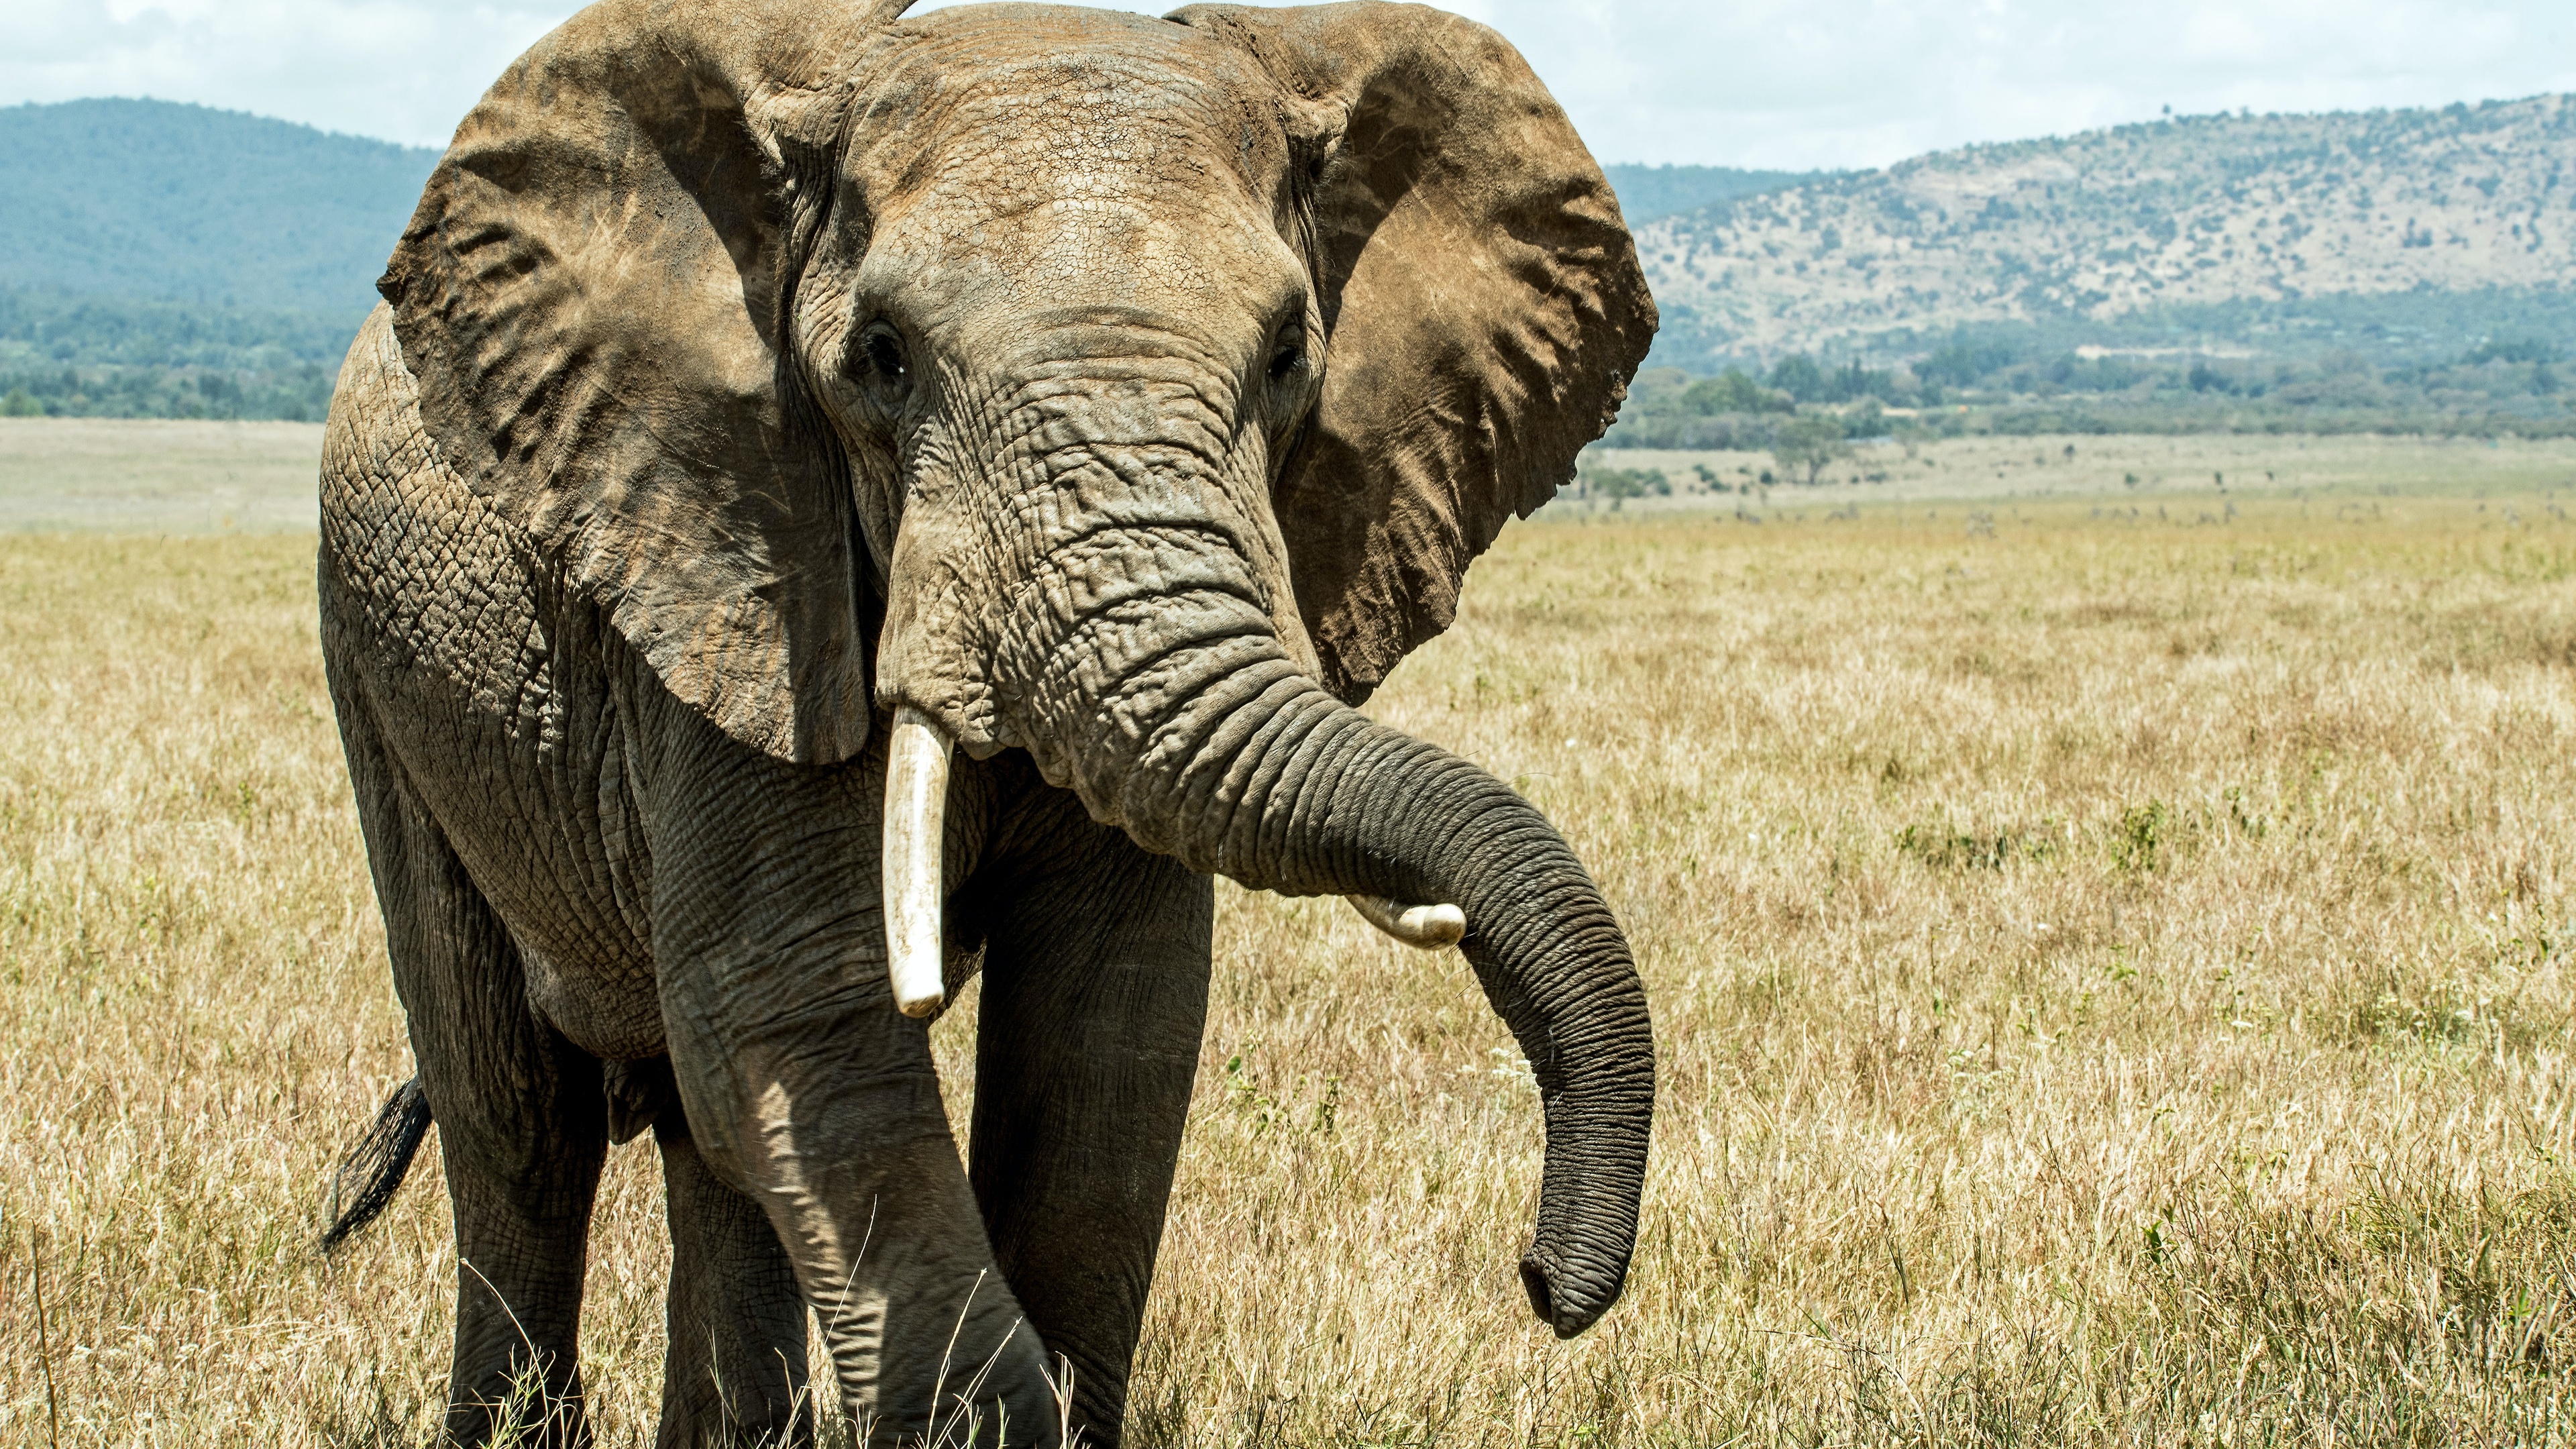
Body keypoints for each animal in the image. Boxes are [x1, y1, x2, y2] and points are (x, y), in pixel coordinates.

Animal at [315, 0, 1657, 1442]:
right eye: (882, 361)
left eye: (1291, 357)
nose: (1545, 1281)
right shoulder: (739, 578)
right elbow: (801, 1026)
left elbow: (1107, 1044)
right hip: (379, 667)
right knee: (516, 1118)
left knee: (693, 1136)